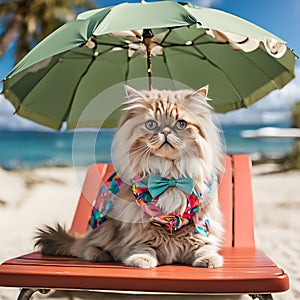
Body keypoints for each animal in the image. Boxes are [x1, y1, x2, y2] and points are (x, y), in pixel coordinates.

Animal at [35, 85, 224, 270]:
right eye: (151, 124)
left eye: (181, 124)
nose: (165, 132)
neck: (169, 176)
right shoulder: (139, 224)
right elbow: (145, 244)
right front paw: (141, 259)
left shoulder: (199, 220)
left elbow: (201, 244)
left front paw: (209, 259)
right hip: (104, 228)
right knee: (88, 245)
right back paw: (98, 254)